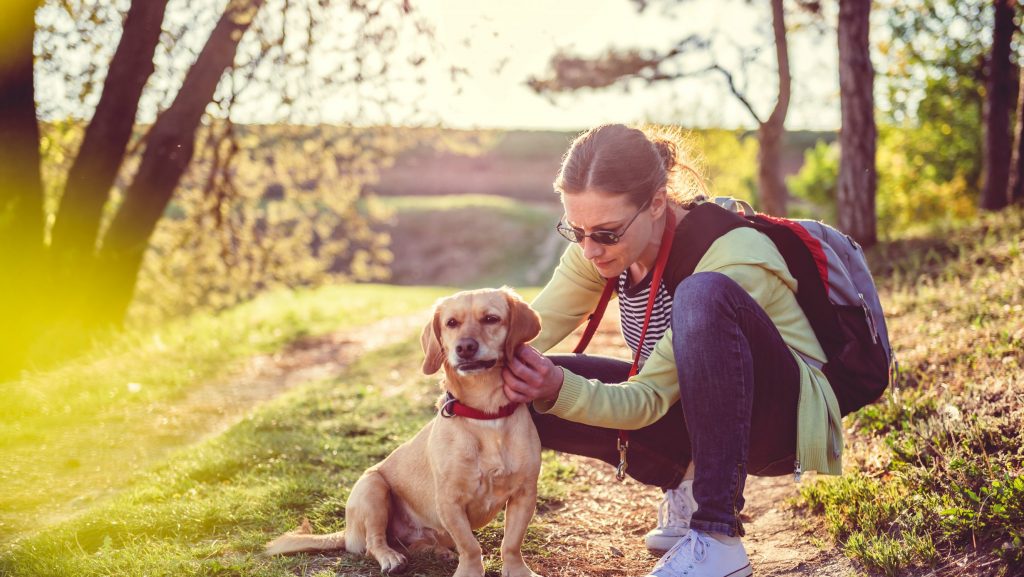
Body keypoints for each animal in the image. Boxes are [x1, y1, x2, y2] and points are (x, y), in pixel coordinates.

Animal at [268, 286, 548, 577]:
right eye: (451, 323)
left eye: (491, 319)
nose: (465, 347)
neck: (484, 414)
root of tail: (346, 532)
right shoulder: (449, 502)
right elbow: (470, 547)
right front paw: (470, 571)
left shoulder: (524, 494)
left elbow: (511, 543)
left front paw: (518, 570)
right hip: (373, 487)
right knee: (374, 542)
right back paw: (391, 558)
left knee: (418, 544)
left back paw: (436, 551)